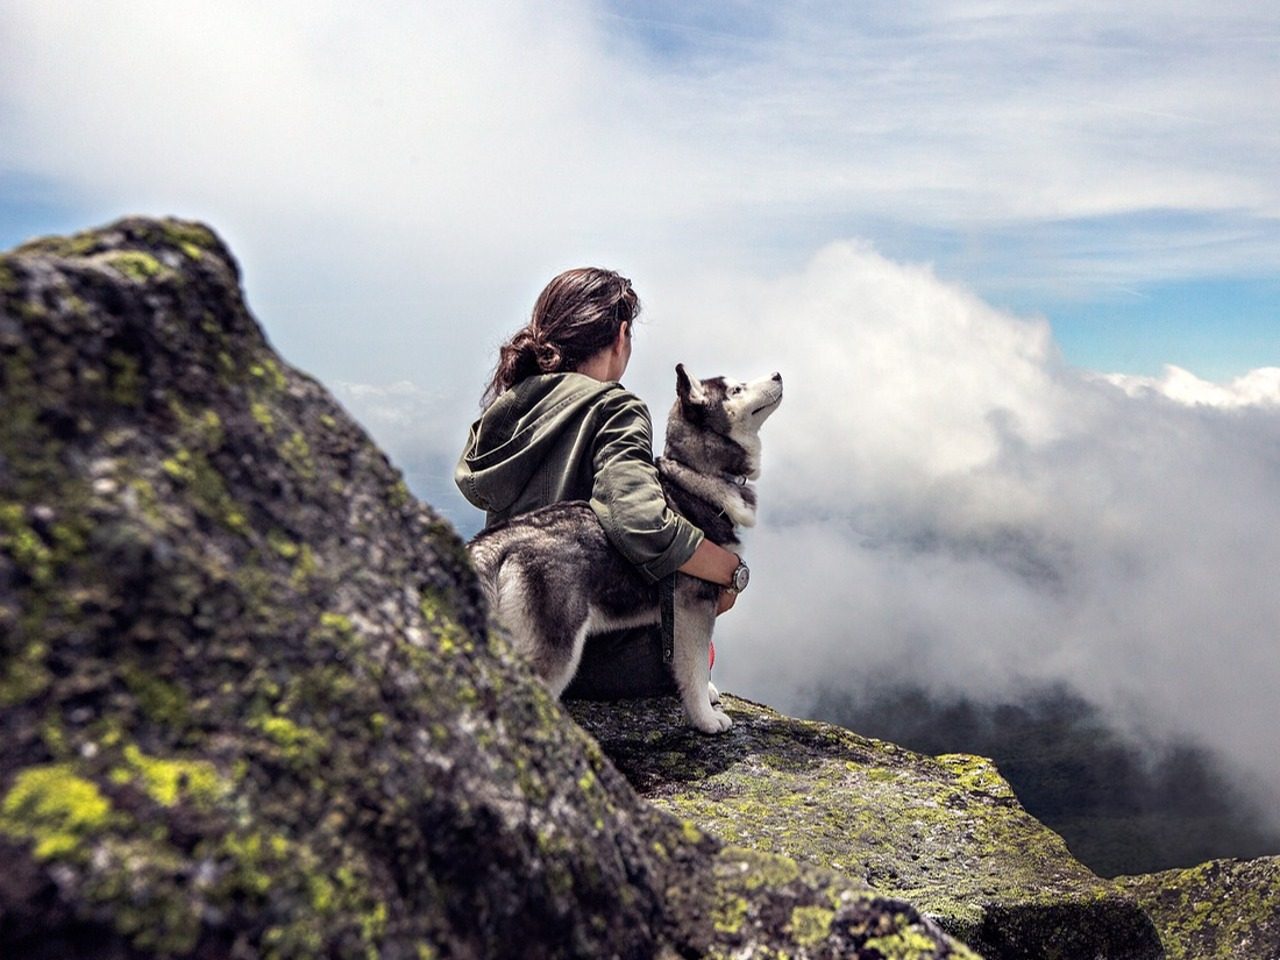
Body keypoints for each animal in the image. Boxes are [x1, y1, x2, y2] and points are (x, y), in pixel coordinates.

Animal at [471, 363, 778, 732]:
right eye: (736, 389)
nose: (778, 375)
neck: (695, 476)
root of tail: (497, 541)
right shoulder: (693, 606)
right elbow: (694, 666)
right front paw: (704, 718)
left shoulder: (675, 617)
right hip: (555, 649)